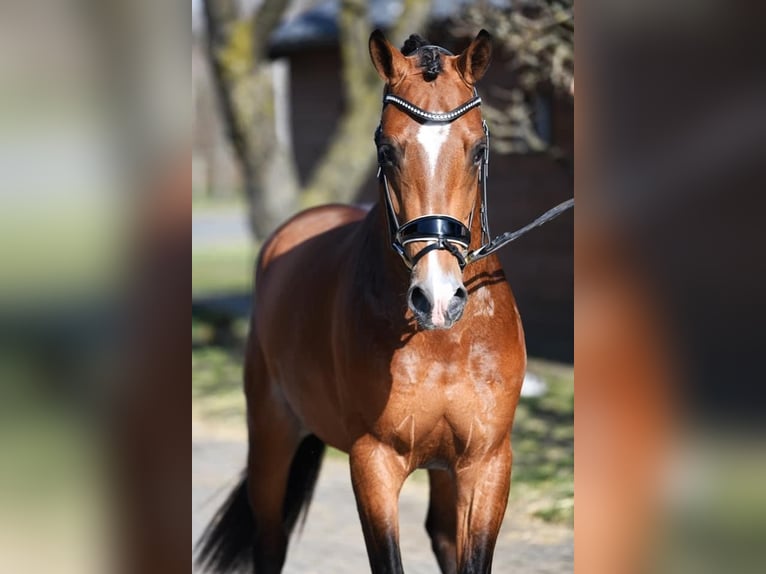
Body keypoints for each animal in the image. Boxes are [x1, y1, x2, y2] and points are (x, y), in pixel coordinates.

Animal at [196, 30, 528, 574]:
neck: (443, 345)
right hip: (270, 437)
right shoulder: (373, 462)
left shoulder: (486, 464)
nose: (437, 298)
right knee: (270, 539)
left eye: (478, 149)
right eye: (387, 150)